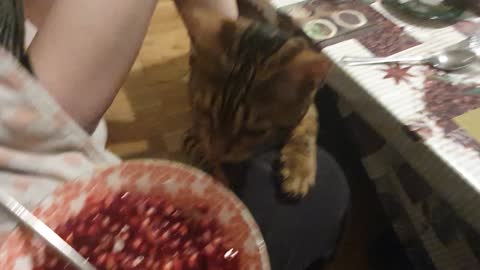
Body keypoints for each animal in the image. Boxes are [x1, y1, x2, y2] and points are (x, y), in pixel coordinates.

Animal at [179, 0, 330, 196]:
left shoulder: (308, 102)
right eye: (205, 111)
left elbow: (308, 124)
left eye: (253, 131)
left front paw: (298, 168)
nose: (218, 152)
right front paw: (217, 179)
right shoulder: (193, 133)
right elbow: (201, 153)